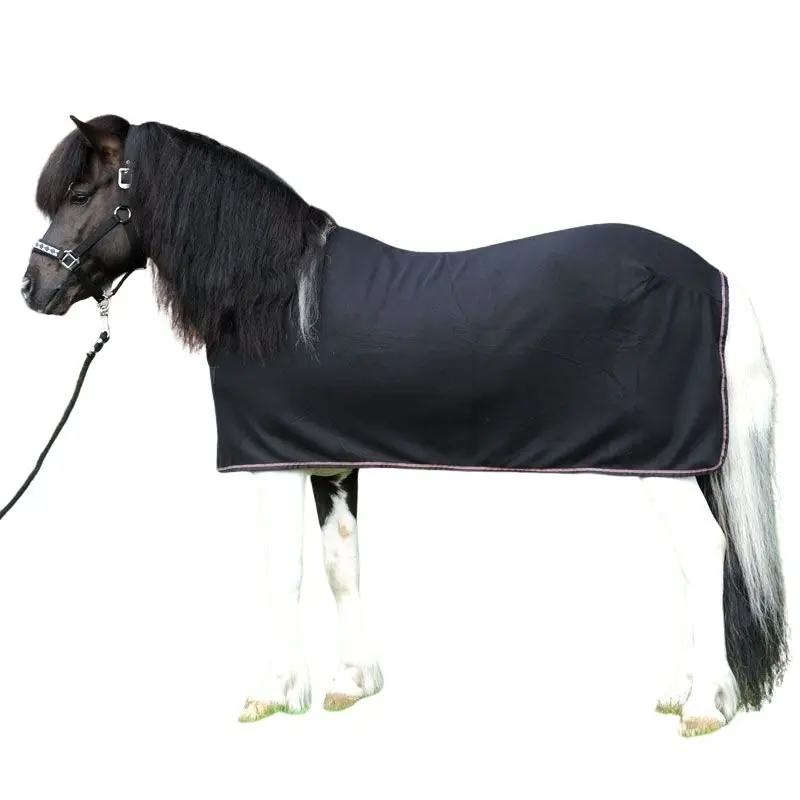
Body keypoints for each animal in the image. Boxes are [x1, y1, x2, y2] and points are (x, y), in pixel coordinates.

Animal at [20, 114, 789, 737]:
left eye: (82, 196)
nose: (33, 288)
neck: (275, 297)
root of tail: (715, 277)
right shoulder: (329, 460)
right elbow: (341, 564)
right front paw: (351, 684)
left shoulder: (269, 461)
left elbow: (284, 572)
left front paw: (271, 693)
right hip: (681, 459)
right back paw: (682, 690)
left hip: (662, 460)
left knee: (703, 549)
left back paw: (703, 705)